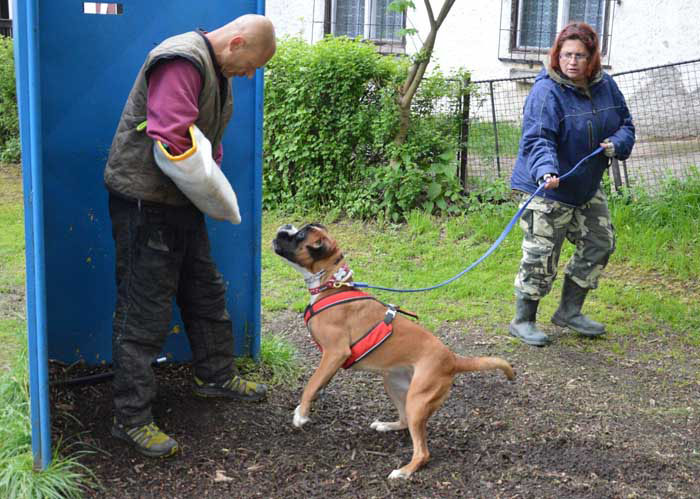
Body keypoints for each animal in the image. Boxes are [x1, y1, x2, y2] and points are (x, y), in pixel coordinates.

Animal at [270, 224, 516, 480]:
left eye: (300, 236)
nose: (285, 227)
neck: (332, 286)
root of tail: (452, 359)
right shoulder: (331, 362)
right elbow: (318, 383)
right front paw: (305, 408)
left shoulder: (335, 353)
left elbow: (310, 384)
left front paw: (301, 415)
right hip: (395, 386)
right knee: (405, 421)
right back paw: (386, 426)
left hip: (418, 401)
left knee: (423, 452)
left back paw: (404, 471)